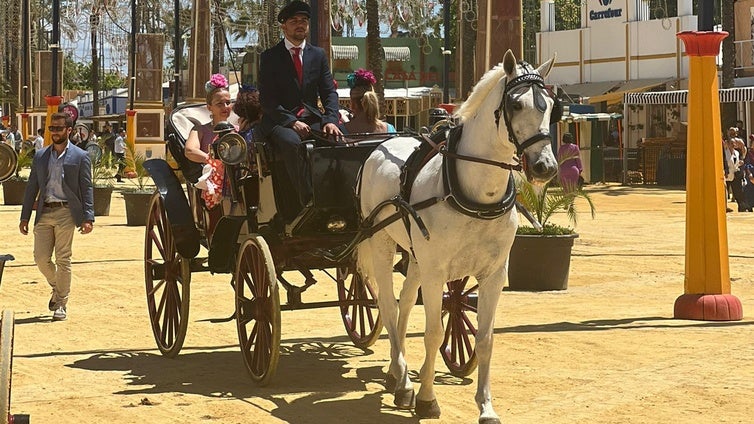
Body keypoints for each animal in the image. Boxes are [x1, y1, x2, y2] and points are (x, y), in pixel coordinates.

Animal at [356, 48, 556, 420]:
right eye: (516, 104)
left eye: (550, 104)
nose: (544, 166)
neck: (475, 193)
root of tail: (381, 146)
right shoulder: (436, 273)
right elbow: (434, 333)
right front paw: (426, 398)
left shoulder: (493, 275)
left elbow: (485, 339)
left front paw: (486, 407)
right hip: (382, 244)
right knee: (388, 307)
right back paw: (404, 381)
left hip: (416, 256)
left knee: (405, 303)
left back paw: (396, 375)